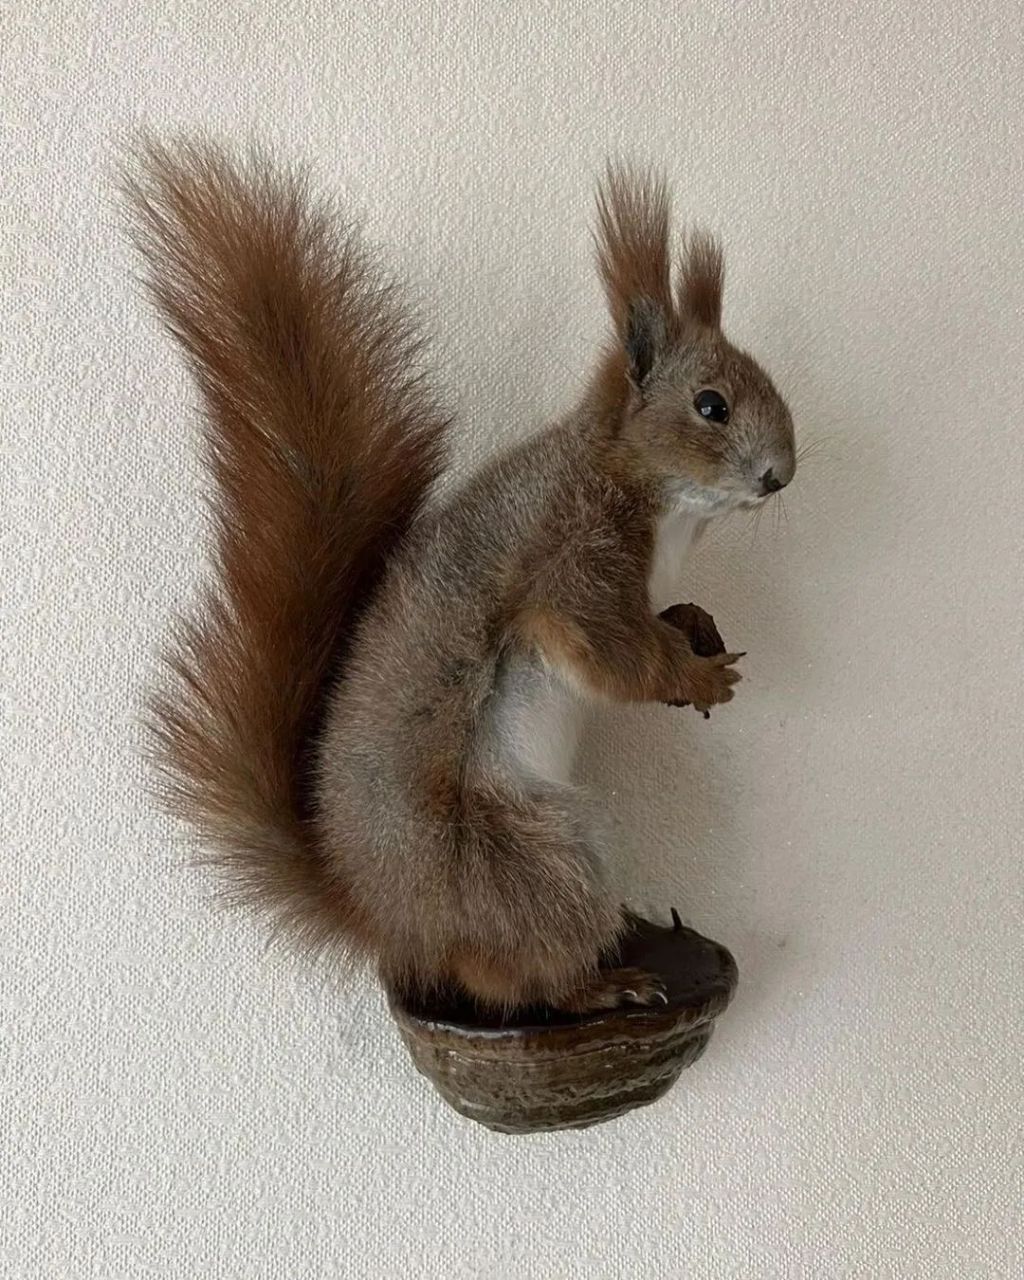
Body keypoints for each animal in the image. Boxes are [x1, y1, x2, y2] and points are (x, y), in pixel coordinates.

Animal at [123, 139, 795, 1016]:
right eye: (711, 406)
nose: (782, 474)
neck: (659, 504)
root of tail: (393, 923)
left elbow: (658, 622)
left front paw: (697, 626)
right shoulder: (572, 565)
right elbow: (607, 654)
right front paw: (696, 676)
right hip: (534, 862)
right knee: (523, 977)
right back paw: (607, 984)